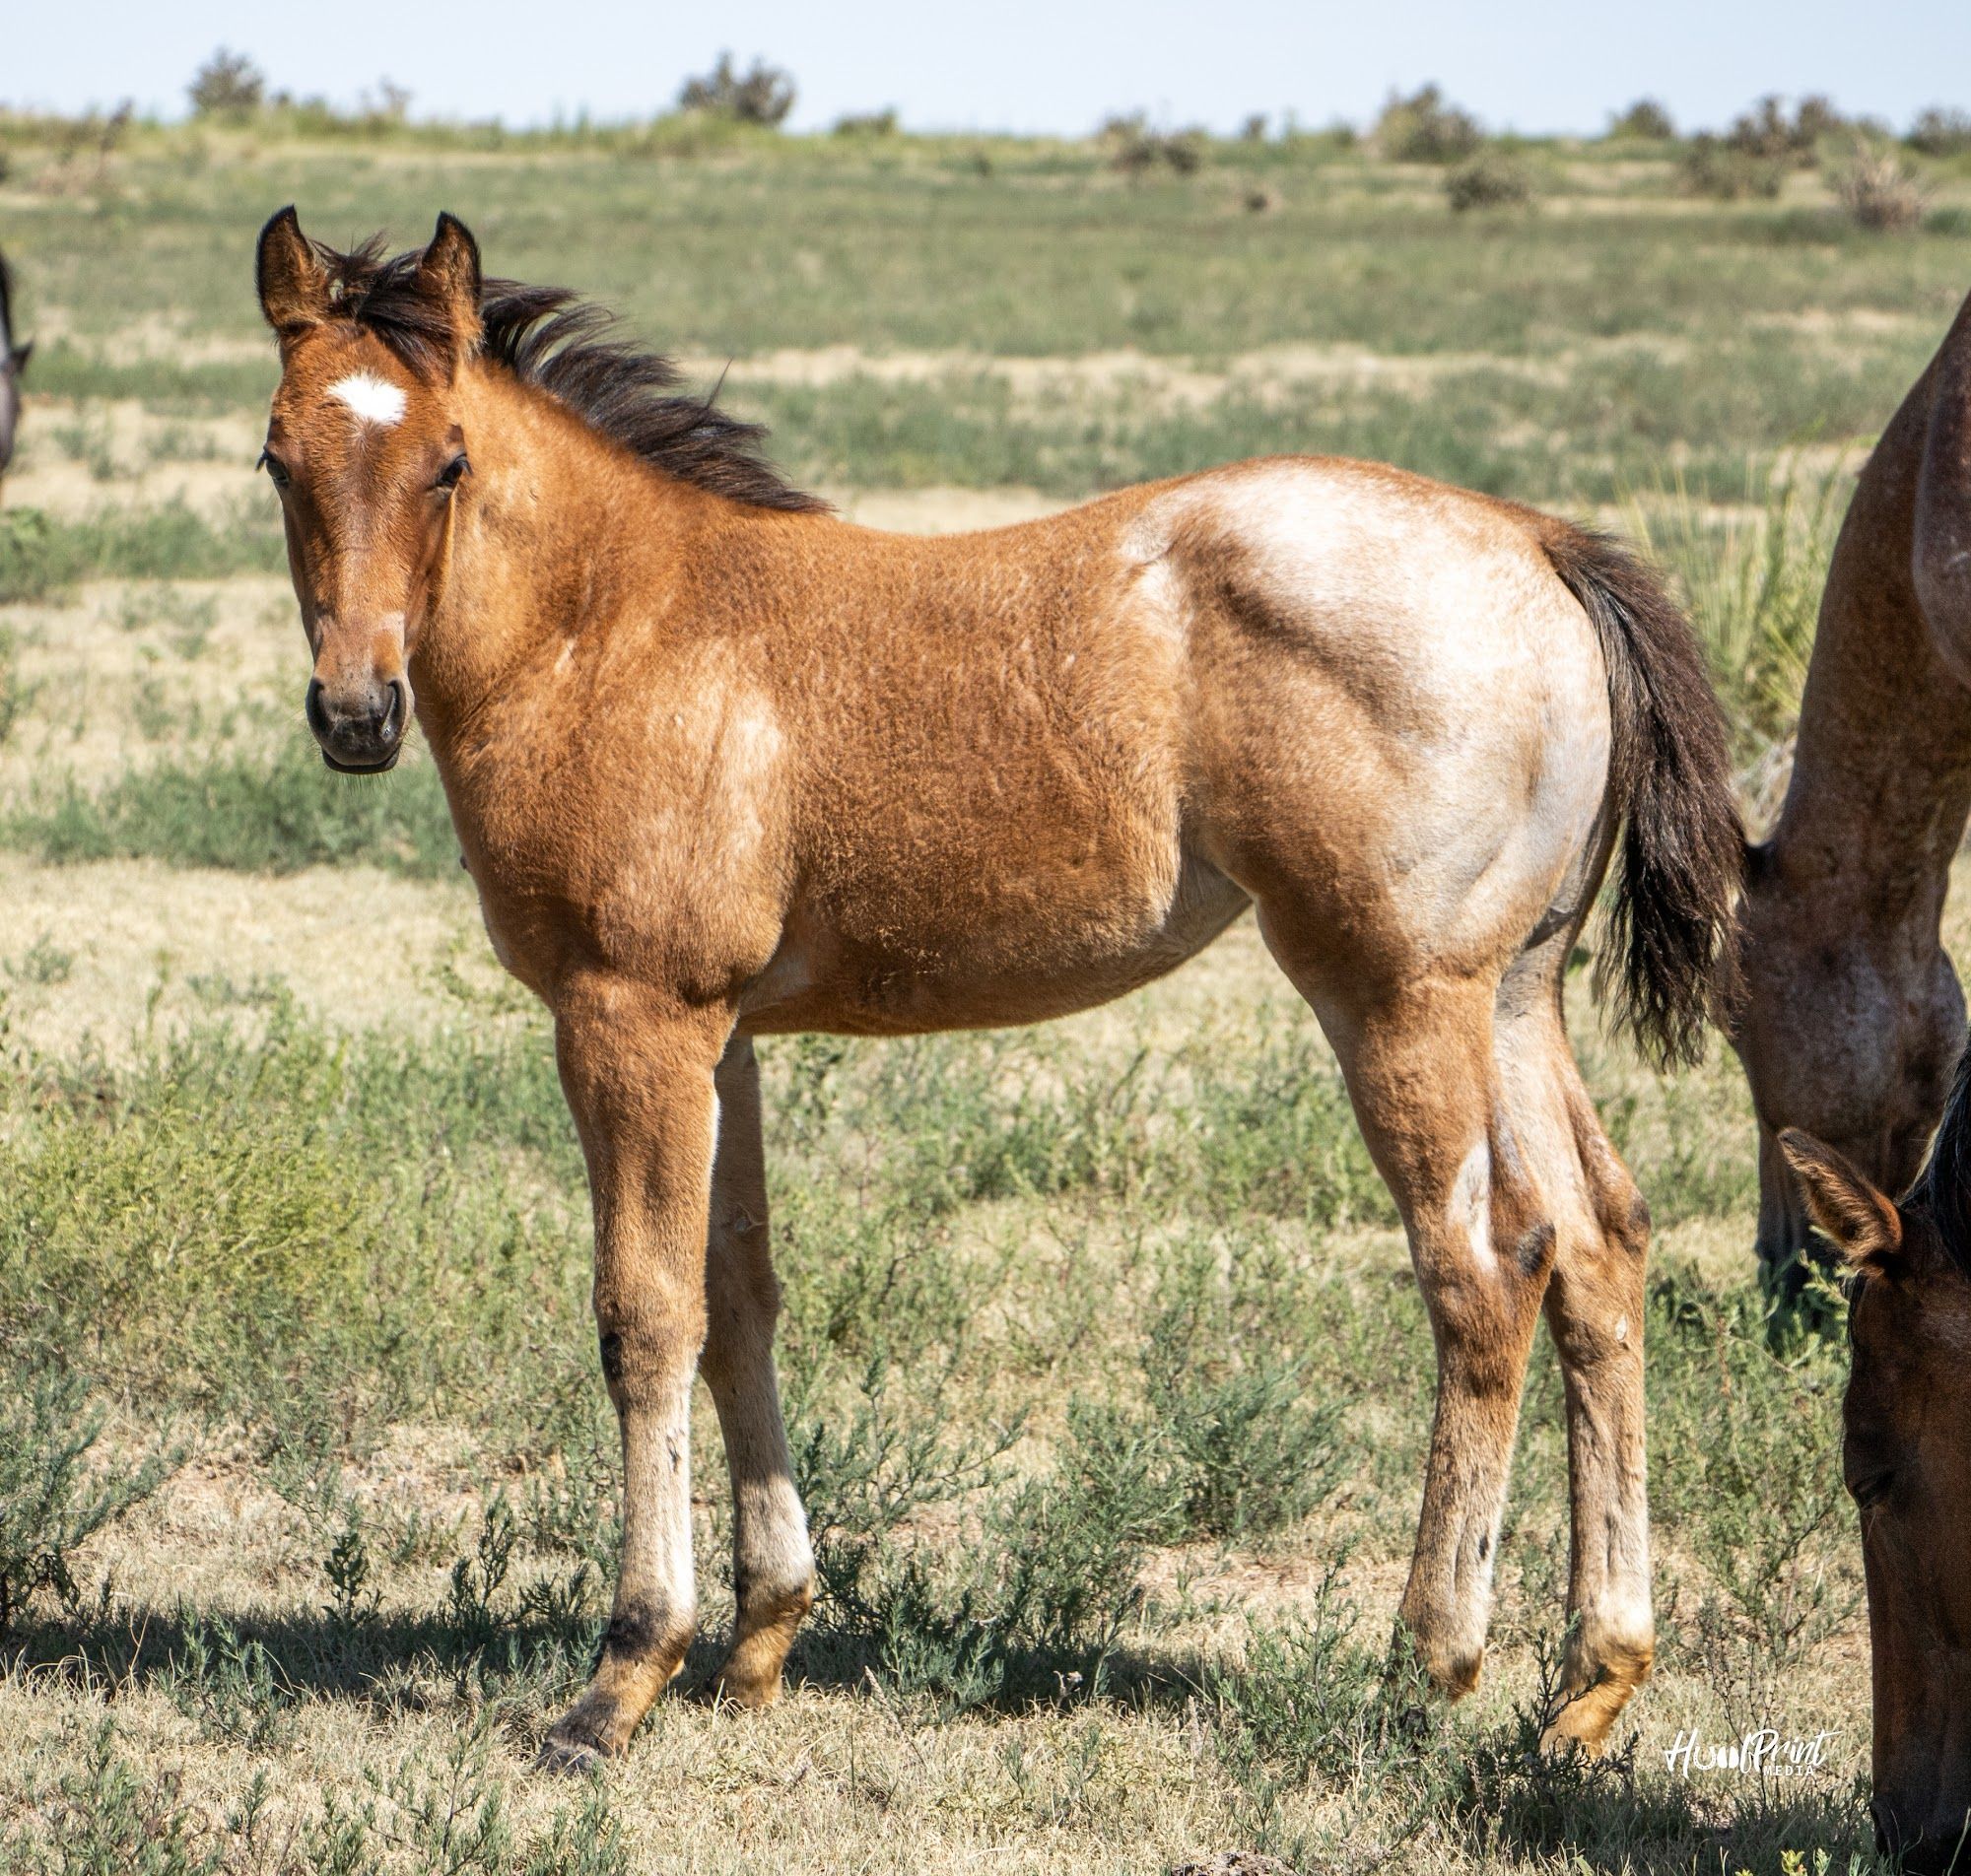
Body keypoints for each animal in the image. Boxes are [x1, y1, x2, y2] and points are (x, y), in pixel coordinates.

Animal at [251, 205, 1740, 1770]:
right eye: (278, 459)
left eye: (450, 461)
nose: (355, 713)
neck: (612, 622)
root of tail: (1537, 539)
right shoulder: (724, 1038)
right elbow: (740, 1292)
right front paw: (762, 1634)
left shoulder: (628, 1019)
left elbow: (644, 1314)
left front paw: (622, 1675)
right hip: (1516, 995)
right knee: (1600, 1248)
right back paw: (1588, 1681)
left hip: (1396, 996)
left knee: (1484, 1270)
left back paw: (1427, 1660)